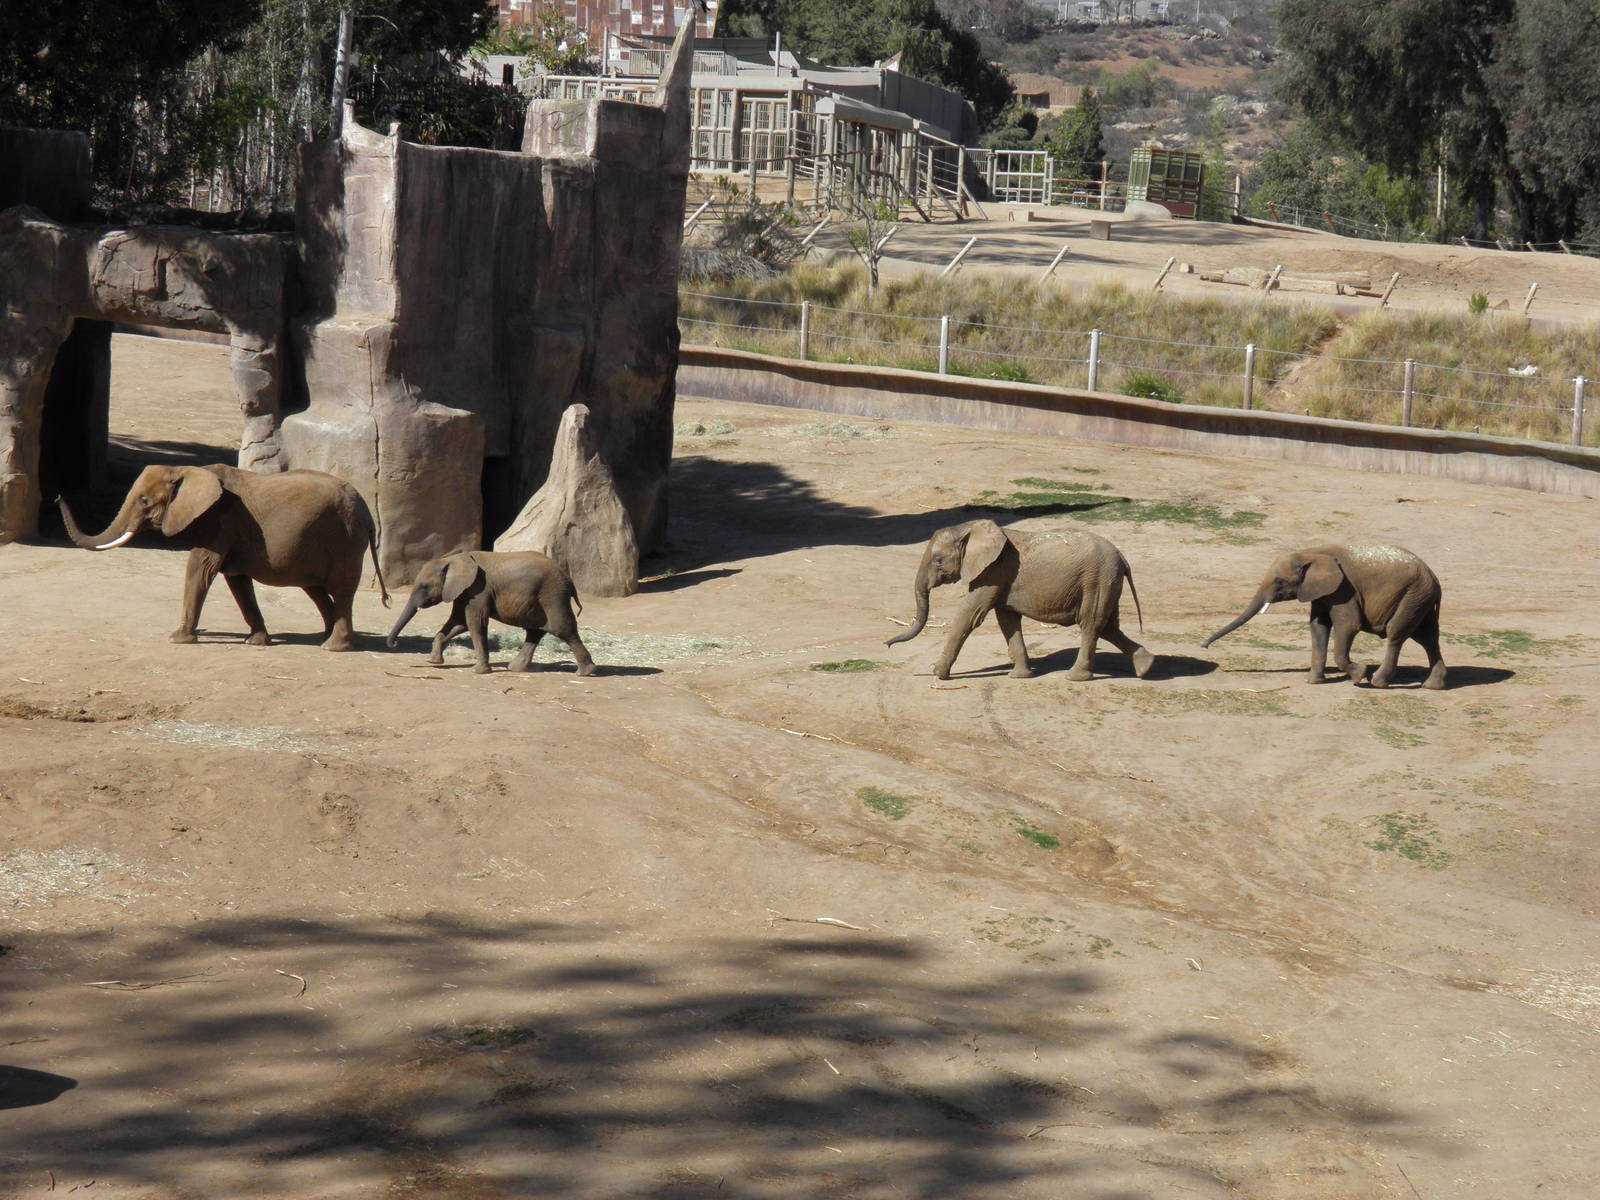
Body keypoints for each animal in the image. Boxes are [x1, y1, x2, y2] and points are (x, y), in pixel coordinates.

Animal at [59, 464, 386, 650]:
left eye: (144, 501)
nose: (57, 495)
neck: (185, 469)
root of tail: (369, 514)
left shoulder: (221, 519)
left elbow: (200, 566)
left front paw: (178, 639)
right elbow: (237, 581)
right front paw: (256, 642)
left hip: (345, 538)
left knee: (340, 590)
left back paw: (333, 647)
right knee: (316, 590)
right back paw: (324, 636)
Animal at [386, 550, 597, 677]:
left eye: (424, 586)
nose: (395, 644)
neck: (453, 559)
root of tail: (569, 579)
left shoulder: (479, 590)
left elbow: (474, 623)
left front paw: (479, 671)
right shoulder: (464, 592)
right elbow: (458, 622)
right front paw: (433, 661)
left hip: (552, 595)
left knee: (563, 629)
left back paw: (585, 673)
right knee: (535, 631)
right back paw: (515, 669)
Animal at [886, 519, 1154, 682]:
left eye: (938, 560)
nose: (887, 645)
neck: (971, 528)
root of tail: (1122, 556)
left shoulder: (993, 572)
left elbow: (969, 615)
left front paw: (937, 673)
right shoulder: (1001, 579)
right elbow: (1007, 620)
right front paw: (1020, 676)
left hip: (1097, 579)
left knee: (1090, 624)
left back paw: (1075, 677)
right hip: (1106, 581)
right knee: (1108, 626)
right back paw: (1146, 667)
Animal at [1204, 544, 1445, 689]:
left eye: (1280, 581)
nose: (1204, 646)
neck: (1311, 552)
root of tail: (1433, 577)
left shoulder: (1344, 589)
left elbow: (1348, 625)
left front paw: (1359, 675)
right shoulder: (1322, 592)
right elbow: (1318, 626)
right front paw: (1313, 682)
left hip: (1413, 595)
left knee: (1397, 633)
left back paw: (1377, 682)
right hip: (1419, 598)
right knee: (1427, 638)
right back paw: (1432, 686)